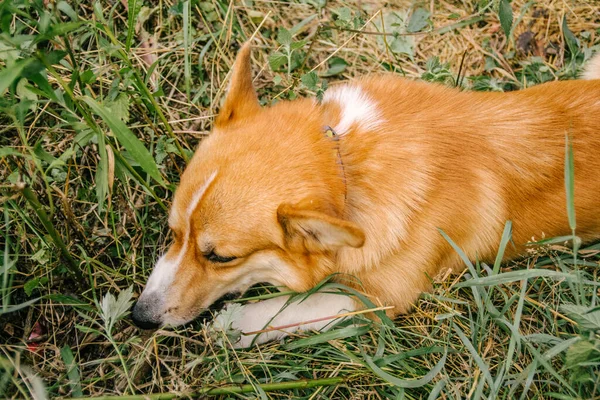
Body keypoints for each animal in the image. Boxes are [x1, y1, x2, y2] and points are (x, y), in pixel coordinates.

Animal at [134, 43, 600, 346]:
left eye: (220, 257)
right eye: (173, 233)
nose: (140, 317)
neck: (347, 165)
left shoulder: (382, 298)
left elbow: (291, 306)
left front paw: (233, 323)